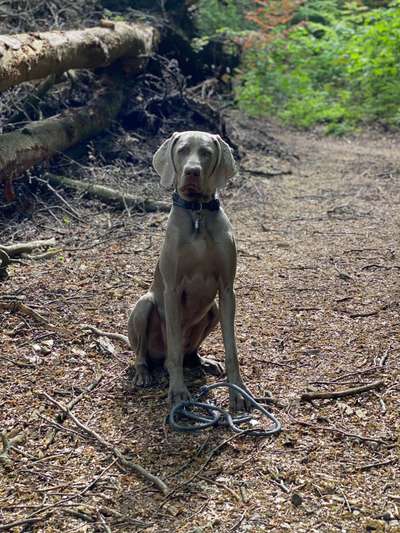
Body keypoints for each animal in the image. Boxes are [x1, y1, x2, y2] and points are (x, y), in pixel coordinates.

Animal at [127, 131, 250, 410]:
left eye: (206, 152)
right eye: (182, 150)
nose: (192, 172)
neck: (197, 214)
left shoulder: (227, 290)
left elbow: (232, 348)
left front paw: (237, 392)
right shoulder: (172, 290)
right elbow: (173, 349)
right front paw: (178, 392)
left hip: (212, 309)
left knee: (187, 352)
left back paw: (201, 361)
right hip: (144, 305)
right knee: (147, 353)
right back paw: (144, 372)